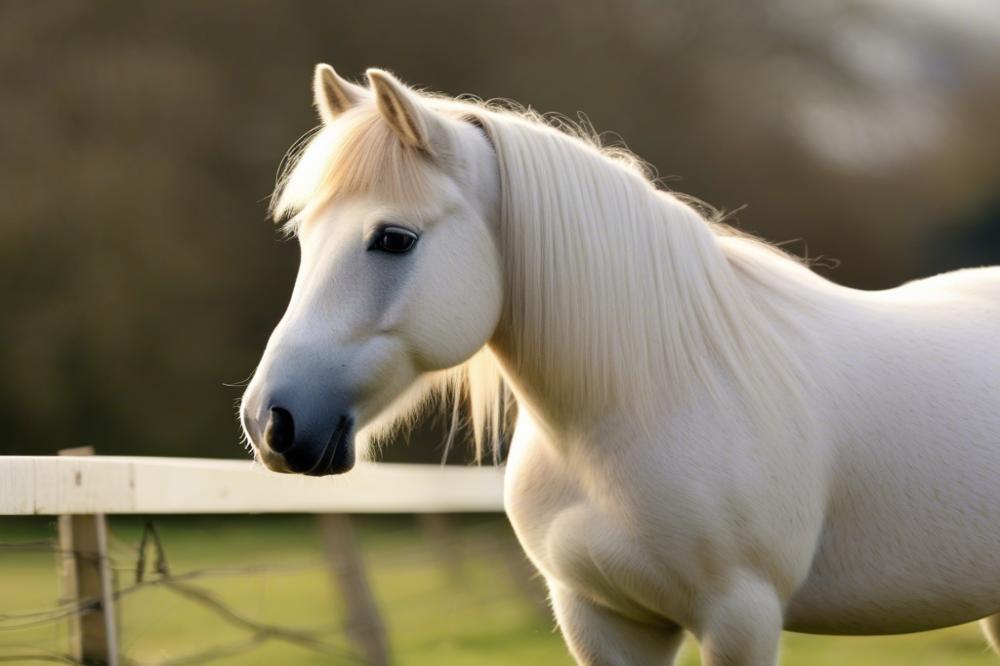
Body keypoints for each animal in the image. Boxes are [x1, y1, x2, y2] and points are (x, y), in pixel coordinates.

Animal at [242, 63, 1000, 664]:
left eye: (394, 238)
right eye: (305, 236)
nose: (271, 421)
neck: (646, 401)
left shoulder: (741, 619)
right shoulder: (601, 619)